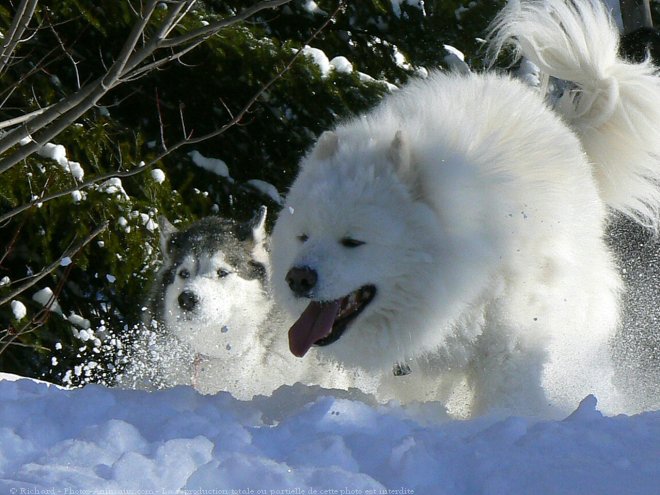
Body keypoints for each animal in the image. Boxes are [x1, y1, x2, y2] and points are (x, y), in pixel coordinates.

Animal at [270, 0, 660, 418]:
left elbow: (505, 387)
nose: (298, 279)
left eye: (353, 241)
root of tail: (565, 127)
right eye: (303, 236)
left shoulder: (514, 329)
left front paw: (502, 420)